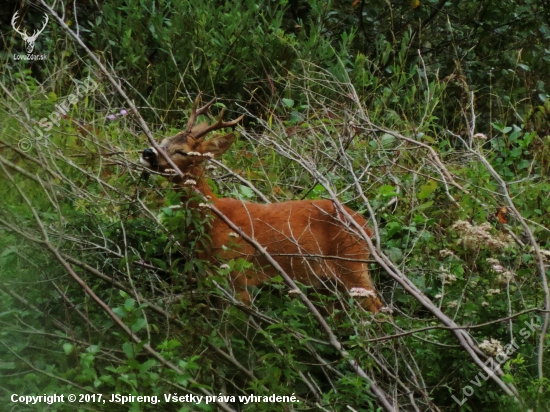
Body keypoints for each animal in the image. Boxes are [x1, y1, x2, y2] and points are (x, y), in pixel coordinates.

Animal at [140, 99, 386, 312]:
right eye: (163, 140)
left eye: (182, 151)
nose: (147, 152)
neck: (215, 220)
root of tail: (367, 227)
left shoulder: (238, 272)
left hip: (352, 264)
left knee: (378, 308)